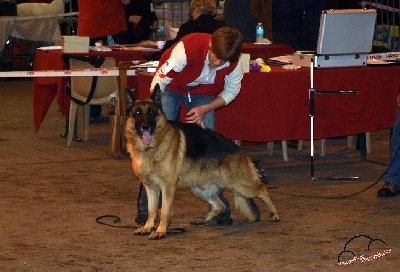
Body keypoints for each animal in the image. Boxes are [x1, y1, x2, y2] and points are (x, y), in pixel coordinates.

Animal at [126, 85, 280, 240]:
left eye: (151, 112)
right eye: (138, 112)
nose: (145, 126)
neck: (151, 148)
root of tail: (238, 148)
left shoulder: (167, 188)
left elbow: (164, 211)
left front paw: (161, 230)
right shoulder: (151, 188)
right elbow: (151, 210)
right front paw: (147, 227)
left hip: (240, 184)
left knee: (263, 190)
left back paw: (274, 214)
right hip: (200, 187)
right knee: (220, 205)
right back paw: (203, 219)